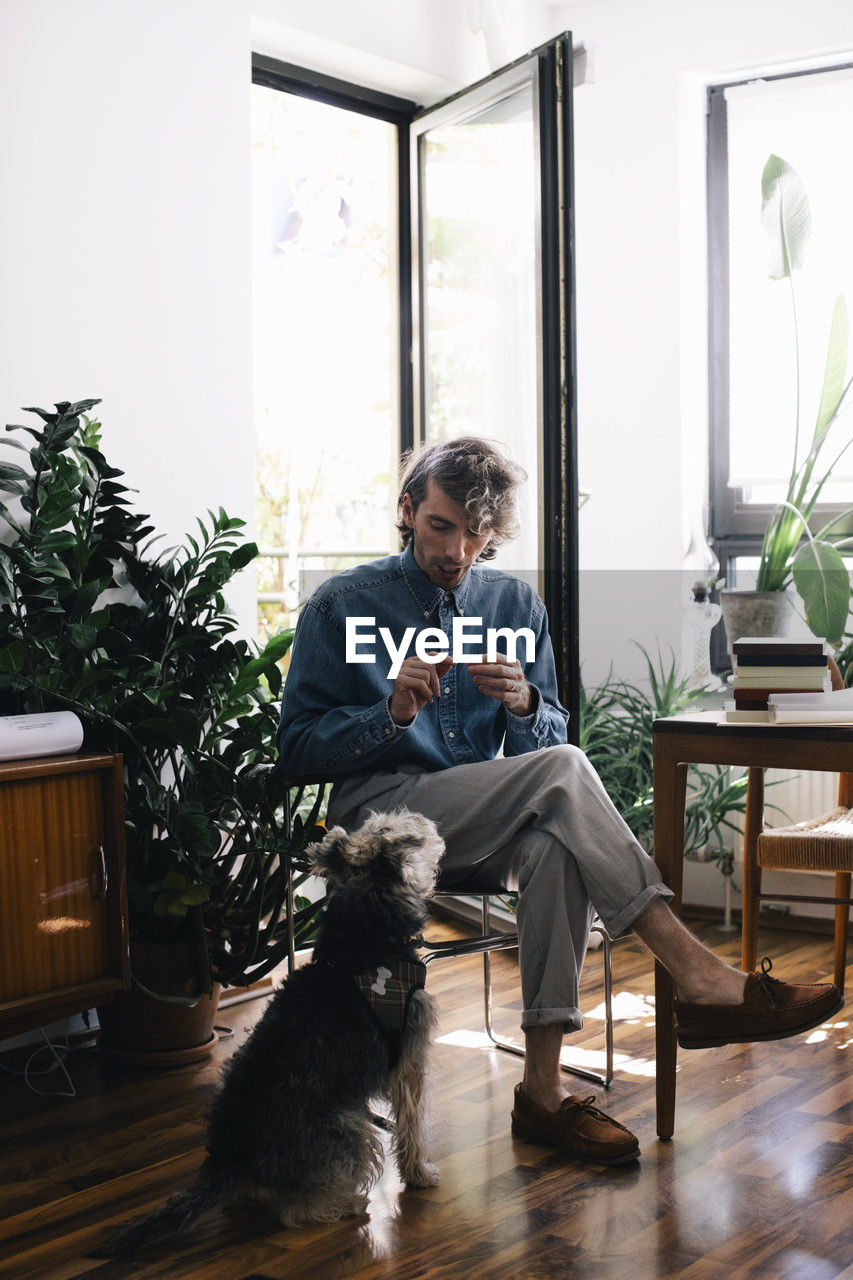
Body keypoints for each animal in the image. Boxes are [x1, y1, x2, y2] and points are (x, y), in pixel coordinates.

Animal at [91, 808, 445, 1249]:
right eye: (392, 825)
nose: (424, 818)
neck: (366, 936)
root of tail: (229, 1158)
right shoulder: (409, 1056)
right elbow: (413, 1123)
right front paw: (419, 1174)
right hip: (349, 1125)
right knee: (297, 1212)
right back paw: (346, 1203)